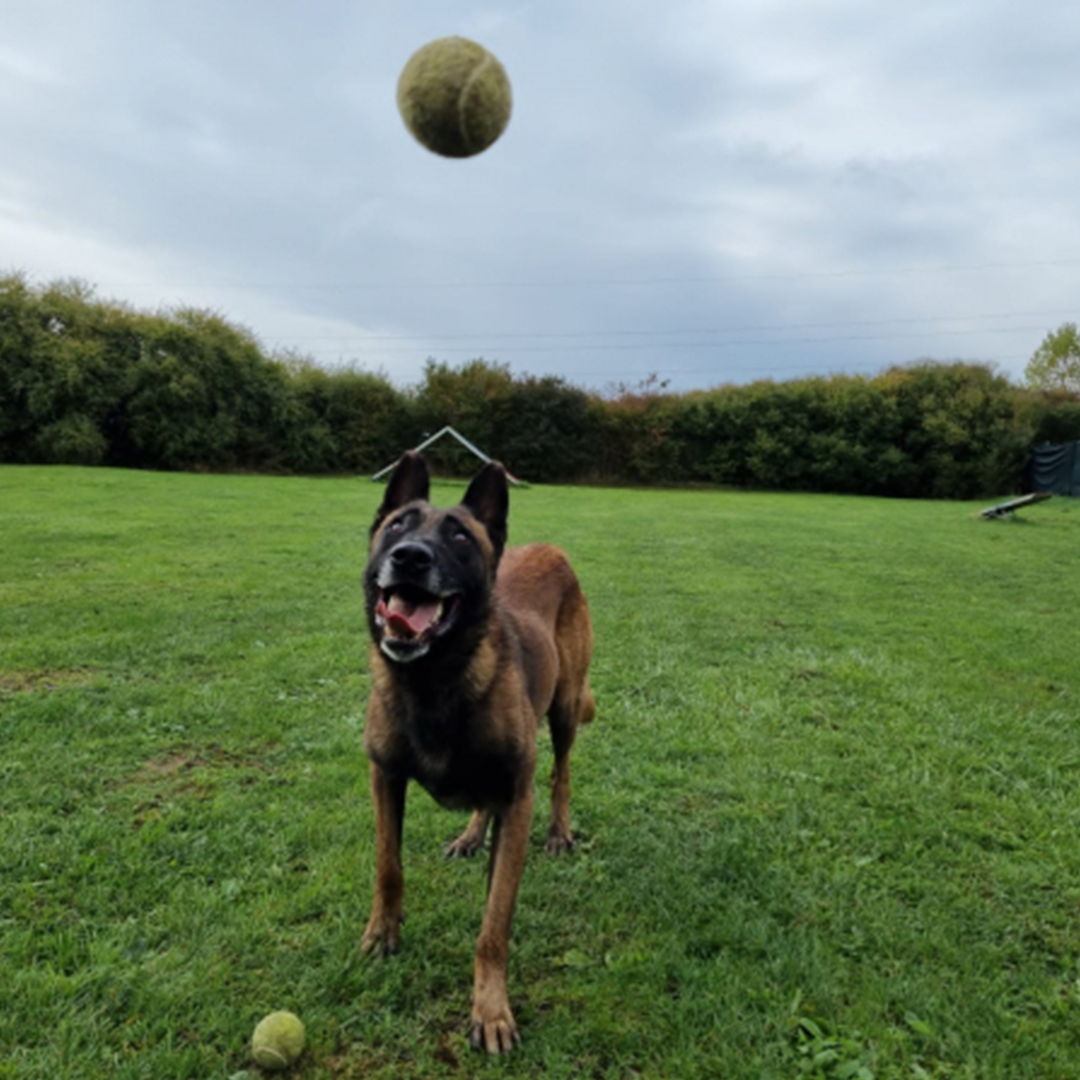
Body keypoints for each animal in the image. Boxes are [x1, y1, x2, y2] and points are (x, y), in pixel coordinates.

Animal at [362, 451, 600, 1049]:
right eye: (396, 525)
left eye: (459, 536)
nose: (409, 557)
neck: (434, 680)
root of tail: (551, 548)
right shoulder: (384, 777)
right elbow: (388, 866)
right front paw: (381, 934)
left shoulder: (517, 800)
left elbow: (494, 922)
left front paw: (490, 1009)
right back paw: (470, 835)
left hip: (565, 709)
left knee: (562, 772)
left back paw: (559, 831)